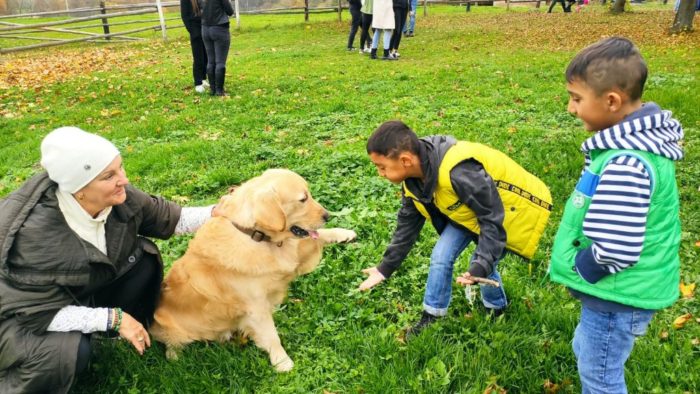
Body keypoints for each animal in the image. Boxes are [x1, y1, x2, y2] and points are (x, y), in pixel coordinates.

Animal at [149, 169, 356, 372]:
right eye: (303, 199)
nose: (327, 215)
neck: (257, 236)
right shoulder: (256, 307)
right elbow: (271, 336)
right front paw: (282, 361)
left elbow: (318, 237)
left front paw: (343, 233)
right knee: (170, 346)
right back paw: (175, 355)